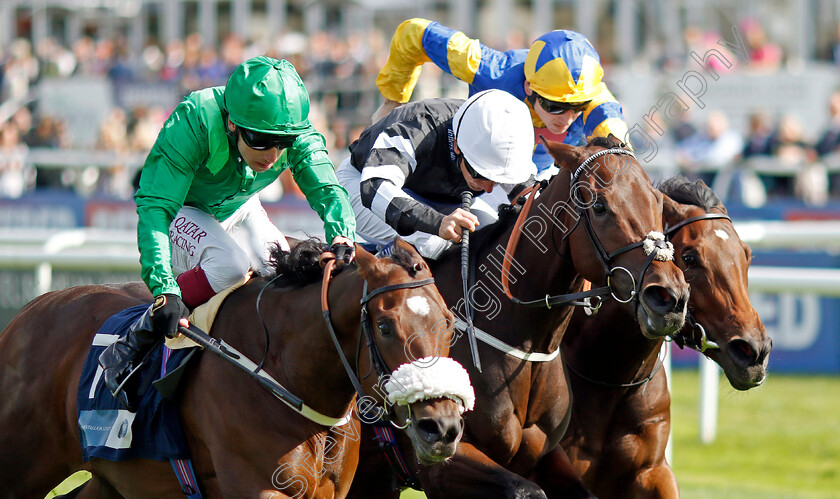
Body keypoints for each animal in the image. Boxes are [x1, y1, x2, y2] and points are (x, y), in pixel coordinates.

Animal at [0, 240, 470, 498]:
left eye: (449, 322)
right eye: (385, 326)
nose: (442, 427)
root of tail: (25, 315)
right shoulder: (259, 488)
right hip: (22, 467)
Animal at [348, 135, 688, 498]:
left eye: (658, 203)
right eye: (600, 206)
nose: (669, 296)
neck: (522, 344)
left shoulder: (545, 454)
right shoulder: (441, 460)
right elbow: (524, 490)